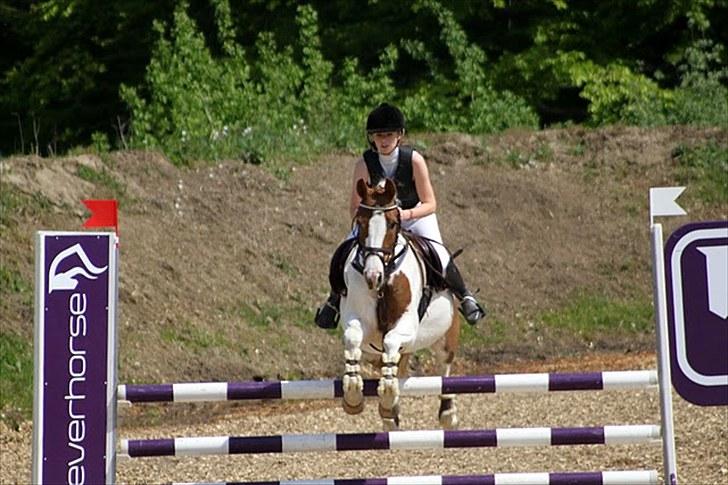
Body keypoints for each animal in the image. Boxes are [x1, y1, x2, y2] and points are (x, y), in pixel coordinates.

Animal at [338, 178, 458, 432]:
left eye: (392, 224)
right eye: (360, 223)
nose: (372, 277)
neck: (385, 278)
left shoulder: (406, 327)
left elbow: (391, 340)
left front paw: (385, 396)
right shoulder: (358, 322)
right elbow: (353, 339)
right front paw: (353, 396)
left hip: (446, 336)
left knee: (445, 366)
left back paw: (447, 413)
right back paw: (390, 414)